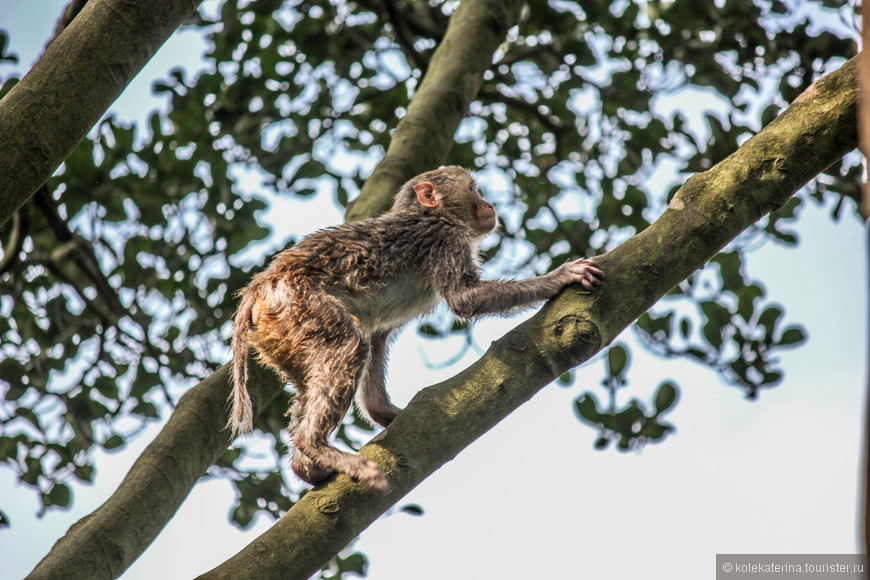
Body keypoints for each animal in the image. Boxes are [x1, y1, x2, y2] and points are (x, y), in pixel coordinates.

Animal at [228, 164, 604, 494]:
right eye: (472, 189)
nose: (488, 204)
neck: (436, 217)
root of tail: (261, 287)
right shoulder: (446, 240)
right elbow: (464, 300)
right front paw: (558, 277)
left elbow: (378, 334)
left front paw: (382, 411)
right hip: (299, 305)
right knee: (349, 343)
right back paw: (315, 446)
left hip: (283, 333)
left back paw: (305, 465)